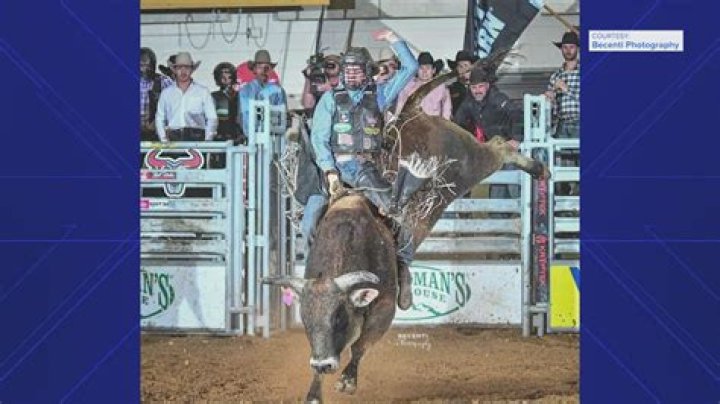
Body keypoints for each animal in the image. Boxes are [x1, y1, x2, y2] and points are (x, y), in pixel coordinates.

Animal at [264, 70, 550, 403]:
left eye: (338, 317)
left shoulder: (384, 307)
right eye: (307, 319)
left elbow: (360, 345)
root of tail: (411, 113)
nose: (323, 364)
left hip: (469, 162)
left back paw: (539, 168)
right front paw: (314, 390)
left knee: (499, 145)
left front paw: (347, 380)